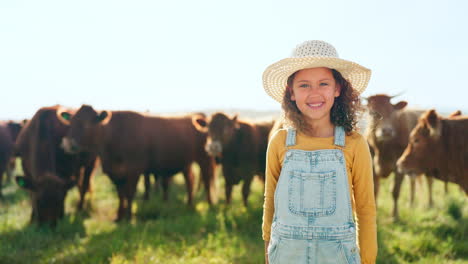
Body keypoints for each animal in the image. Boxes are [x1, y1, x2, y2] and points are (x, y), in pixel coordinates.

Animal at [59, 105, 218, 221]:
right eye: (70, 123)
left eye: (87, 125)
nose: (68, 144)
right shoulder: (115, 173)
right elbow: (121, 195)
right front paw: (119, 216)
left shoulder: (134, 170)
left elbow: (129, 194)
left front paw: (129, 217)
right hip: (186, 163)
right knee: (190, 180)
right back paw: (189, 205)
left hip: (204, 159)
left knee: (206, 181)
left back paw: (210, 204)